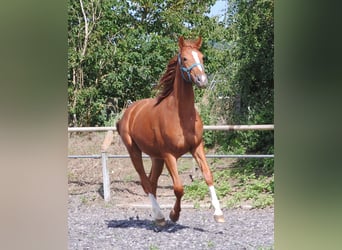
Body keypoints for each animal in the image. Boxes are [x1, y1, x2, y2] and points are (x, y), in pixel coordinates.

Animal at [116, 37, 226, 227]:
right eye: (184, 58)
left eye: (202, 57)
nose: (202, 80)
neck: (180, 115)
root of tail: (129, 113)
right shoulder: (169, 155)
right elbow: (179, 188)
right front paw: (174, 215)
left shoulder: (196, 147)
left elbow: (208, 176)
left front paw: (218, 213)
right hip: (135, 152)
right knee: (145, 182)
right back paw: (160, 216)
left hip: (156, 157)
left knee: (152, 182)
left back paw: (157, 217)